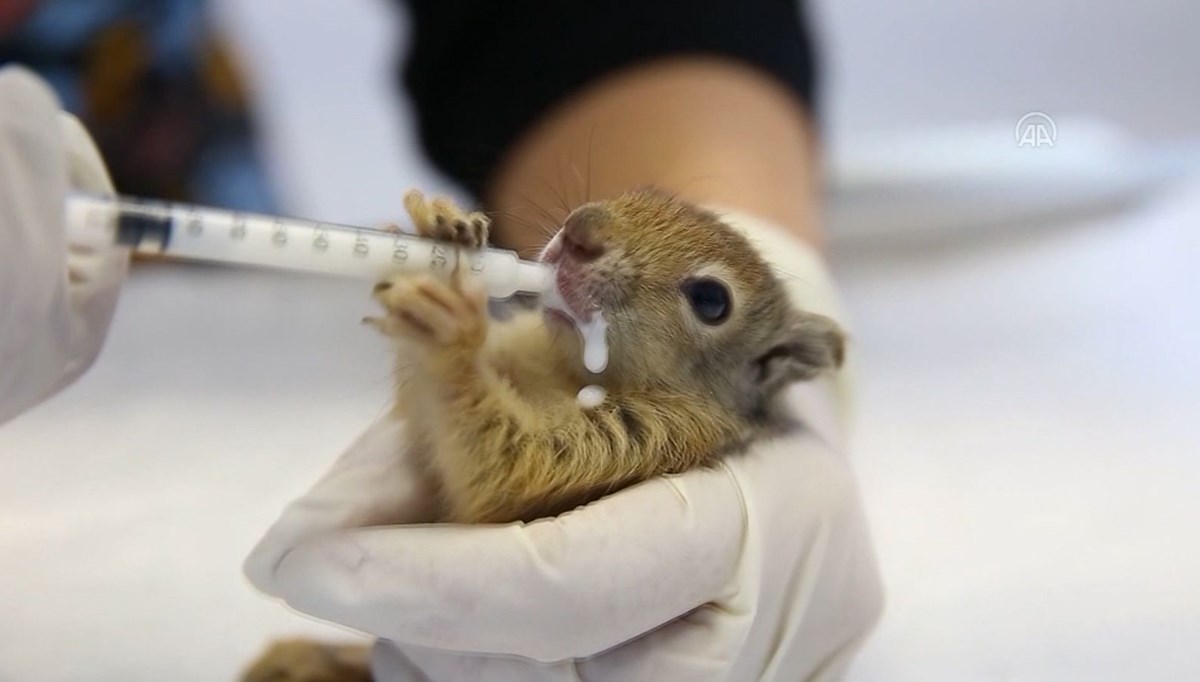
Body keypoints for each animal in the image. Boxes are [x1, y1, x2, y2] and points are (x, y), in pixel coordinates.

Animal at [238, 190, 844, 682]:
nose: (579, 230)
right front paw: (443, 227)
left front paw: (449, 341)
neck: (565, 372)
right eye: (645, 191)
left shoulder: (653, 438)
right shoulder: (521, 345)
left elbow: (511, 472)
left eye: (712, 301)